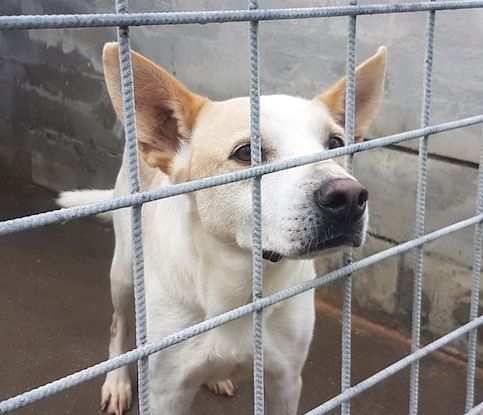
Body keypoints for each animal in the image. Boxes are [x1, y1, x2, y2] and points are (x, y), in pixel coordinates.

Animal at [58, 43, 388, 415]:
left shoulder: (286, 381)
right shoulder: (166, 392)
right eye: (247, 153)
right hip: (124, 275)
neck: (239, 282)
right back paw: (116, 382)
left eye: (335, 144)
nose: (349, 198)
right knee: (120, 325)